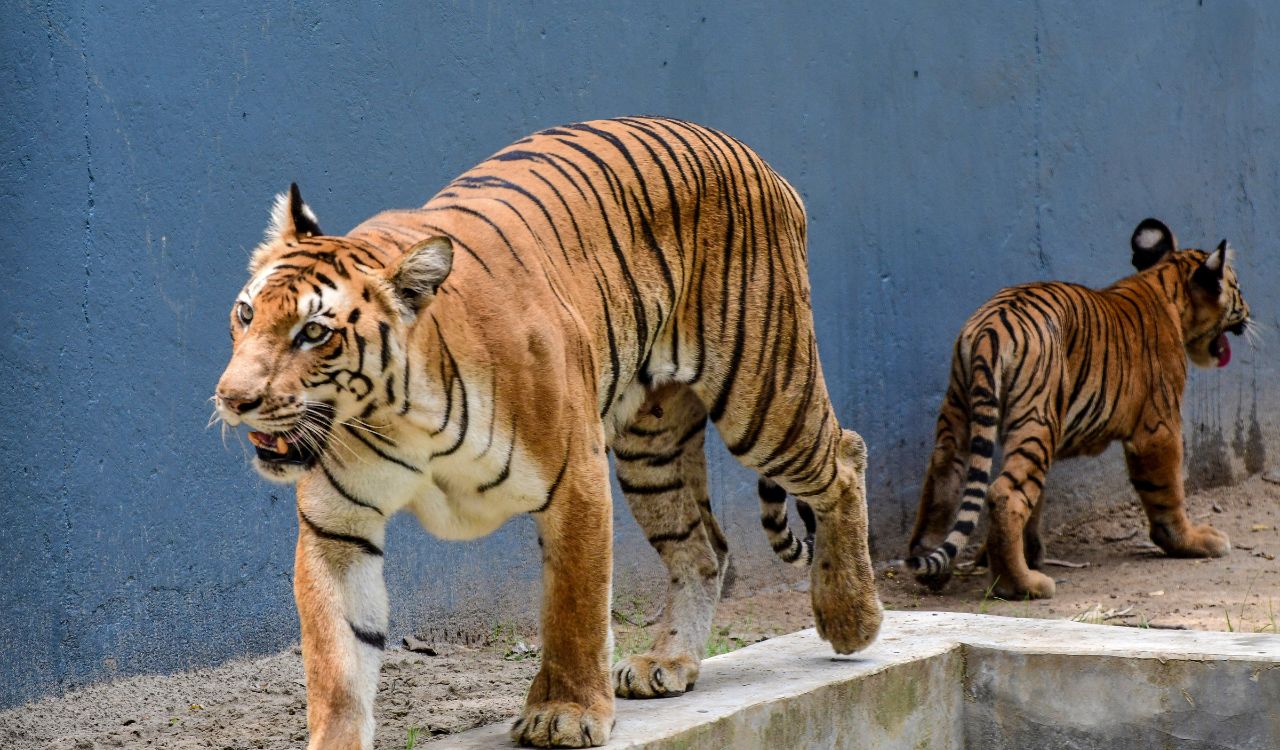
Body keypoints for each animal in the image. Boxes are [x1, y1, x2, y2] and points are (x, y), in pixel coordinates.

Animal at [213, 117, 882, 749]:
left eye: (314, 333)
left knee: (845, 457)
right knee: (703, 548)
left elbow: (574, 609)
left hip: (764, 394)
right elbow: (338, 662)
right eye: (246, 314)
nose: (233, 400)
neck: (399, 416)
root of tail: (748, 152)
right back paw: (668, 661)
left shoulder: (575, 480)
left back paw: (851, 618)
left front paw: (565, 714)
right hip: (651, 450)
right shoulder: (338, 528)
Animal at [901, 218, 1251, 600]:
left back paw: (934, 571)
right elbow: (1168, 491)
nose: (1250, 315)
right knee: (1005, 495)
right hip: (1037, 418)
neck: (1166, 286)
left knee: (945, 476)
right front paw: (1190, 541)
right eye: (1237, 287)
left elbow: (1036, 503)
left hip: (963, 411)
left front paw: (1022, 552)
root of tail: (990, 328)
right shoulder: (1158, 427)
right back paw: (1021, 586)